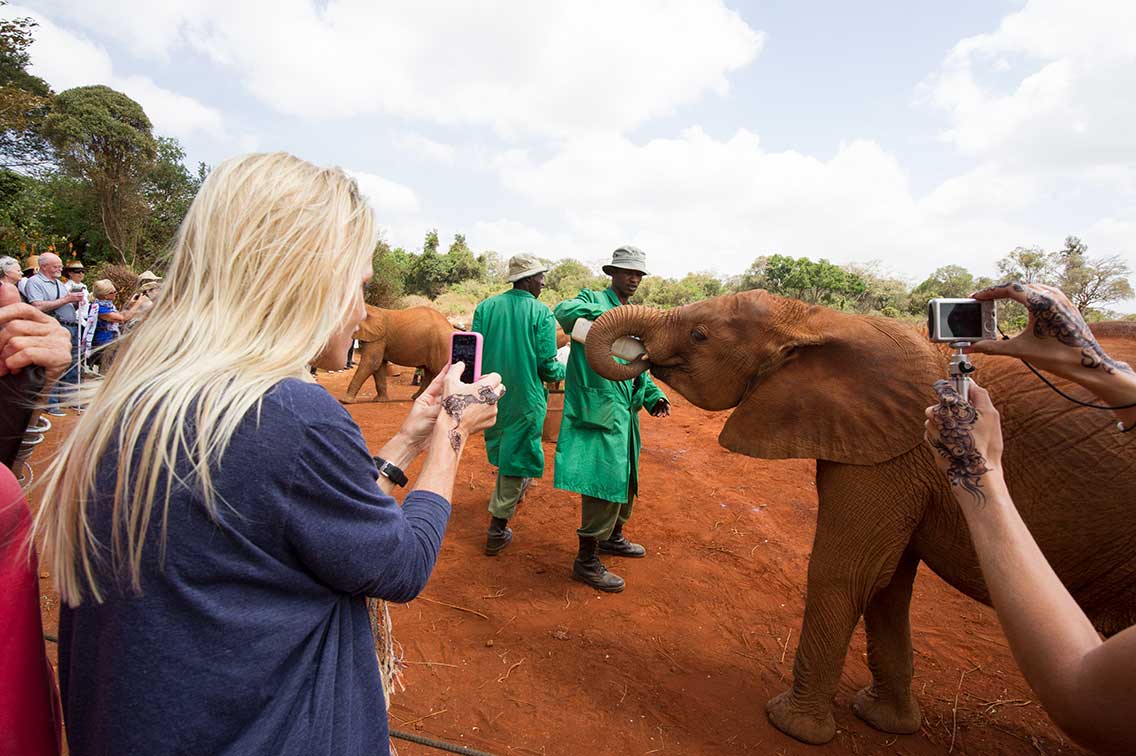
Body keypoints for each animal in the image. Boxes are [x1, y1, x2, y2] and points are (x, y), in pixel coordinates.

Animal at [583, 290, 1136, 745]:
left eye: (699, 335)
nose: (638, 357)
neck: (815, 319)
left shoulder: (896, 452)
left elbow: (848, 572)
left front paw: (791, 725)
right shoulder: (894, 453)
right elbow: (888, 585)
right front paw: (885, 722)